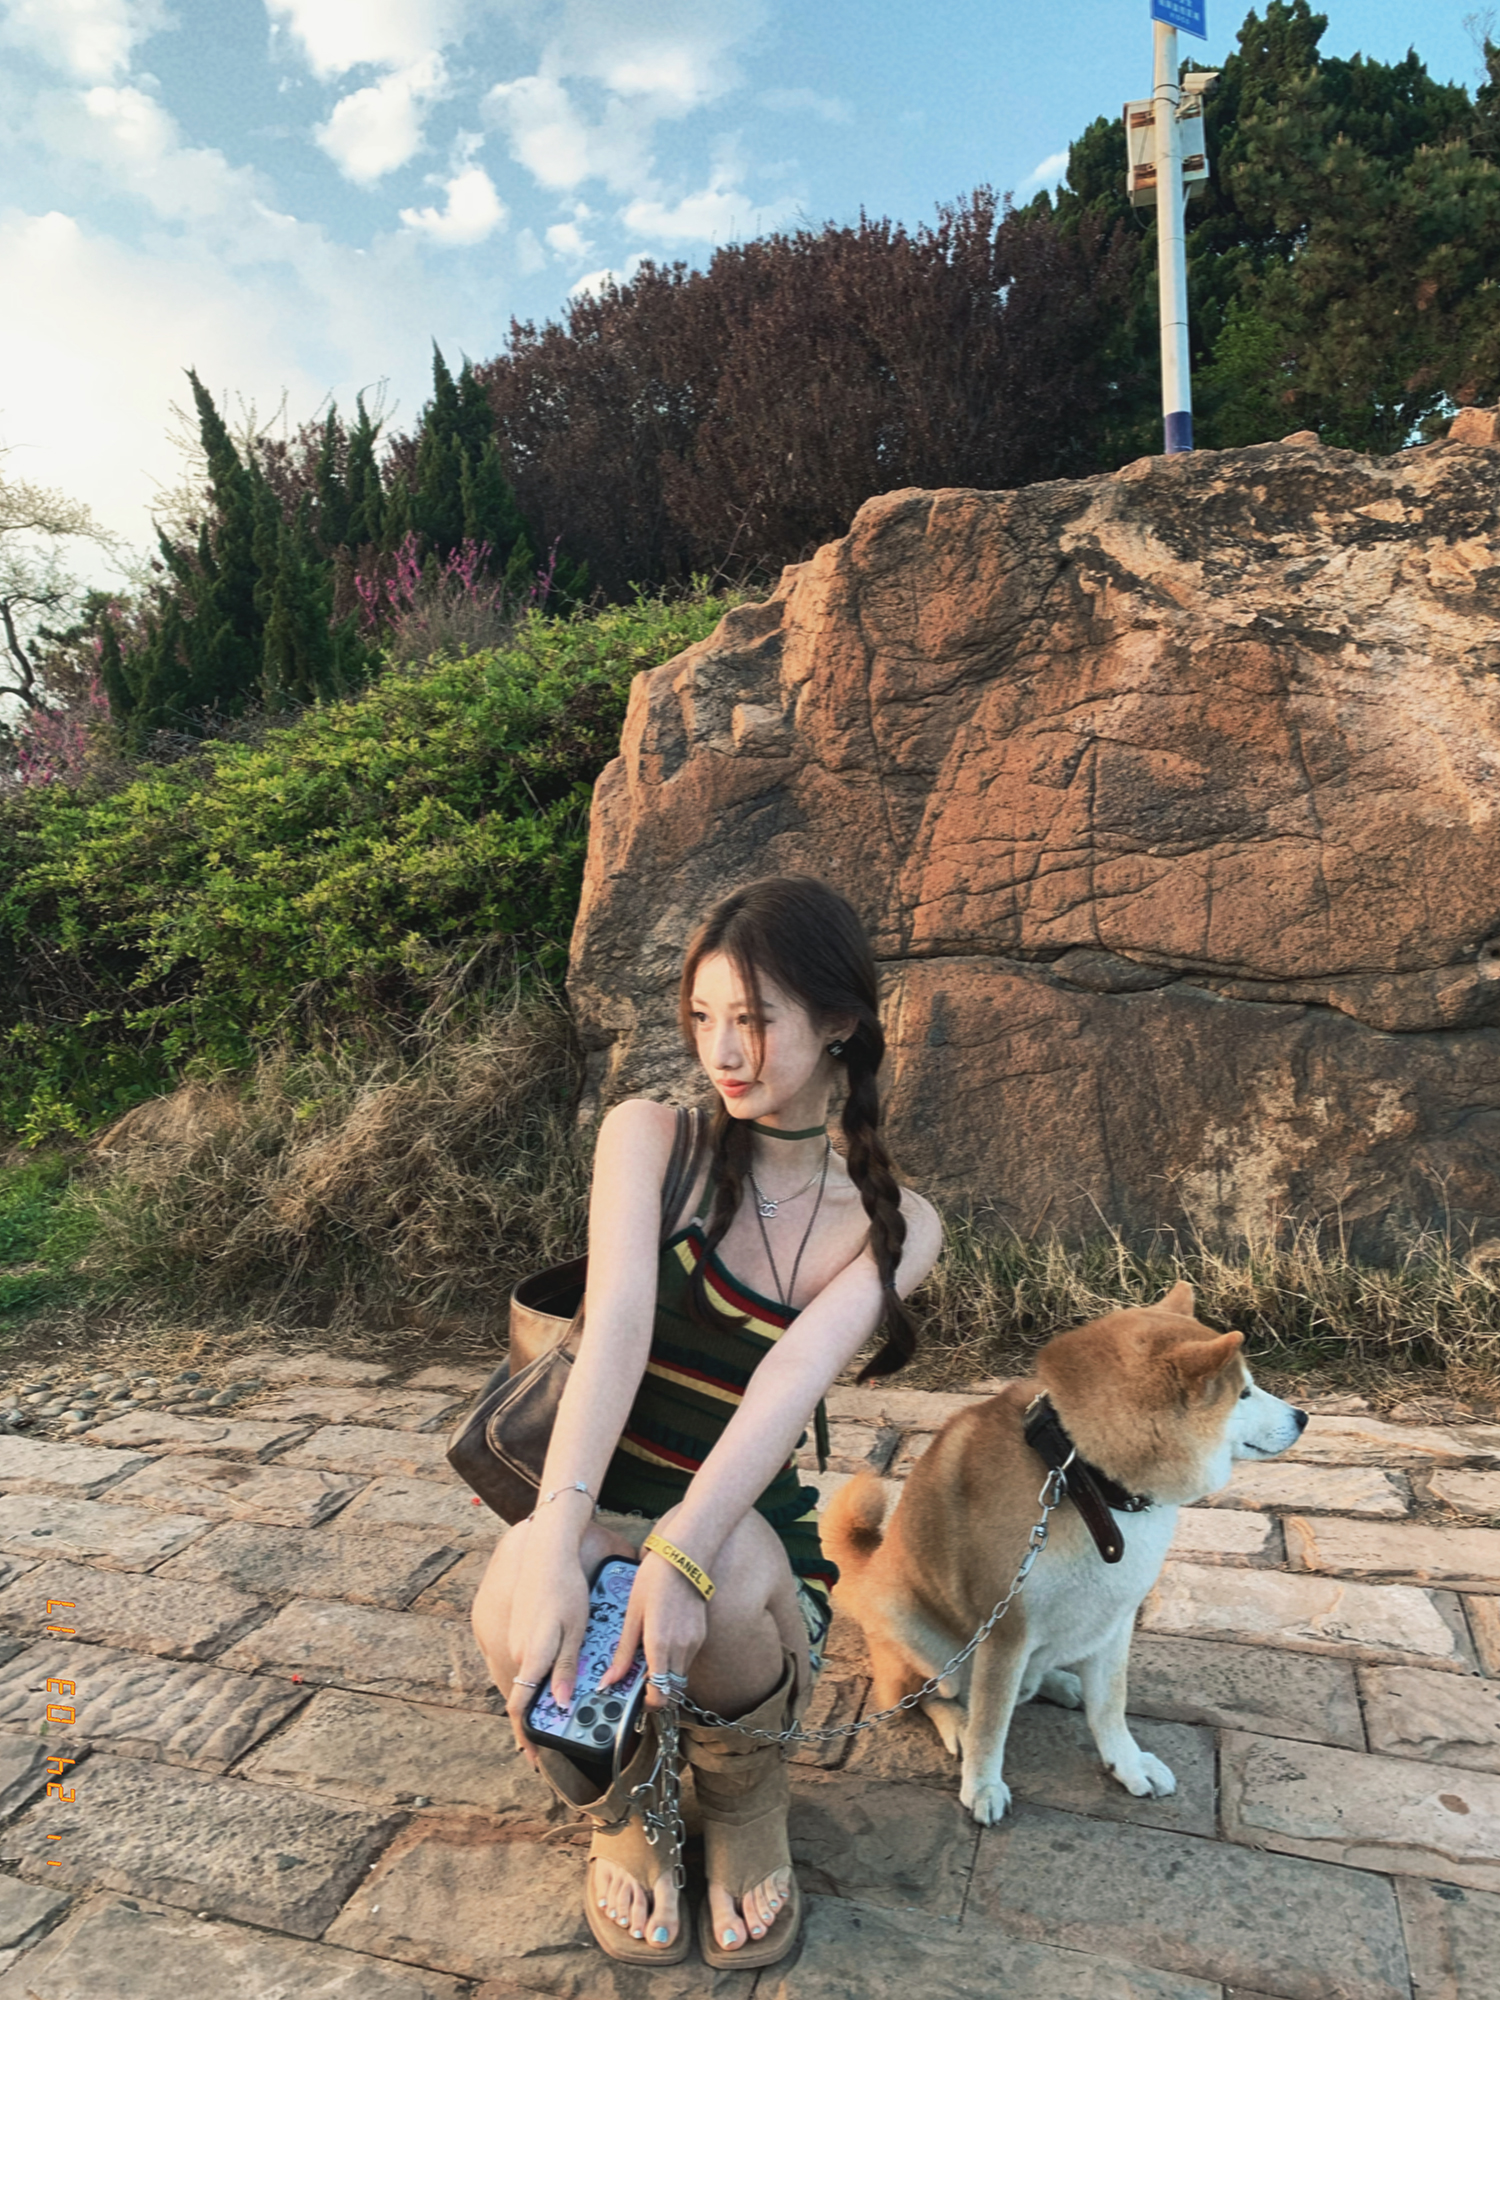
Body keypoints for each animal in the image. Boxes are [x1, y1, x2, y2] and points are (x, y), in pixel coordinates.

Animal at [822, 1283, 1306, 1824]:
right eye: (1243, 1392)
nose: (1303, 1417)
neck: (1081, 1479)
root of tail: (869, 1576)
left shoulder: (1115, 1619)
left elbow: (1110, 1704)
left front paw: (1127, 1762)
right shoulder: (1005, 1630)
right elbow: (991, 1721)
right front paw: (983, 1784)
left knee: (1028, 1679)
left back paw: (1057, 1682)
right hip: (908, 1622)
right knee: (928, 1695)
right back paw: (958, 1723)